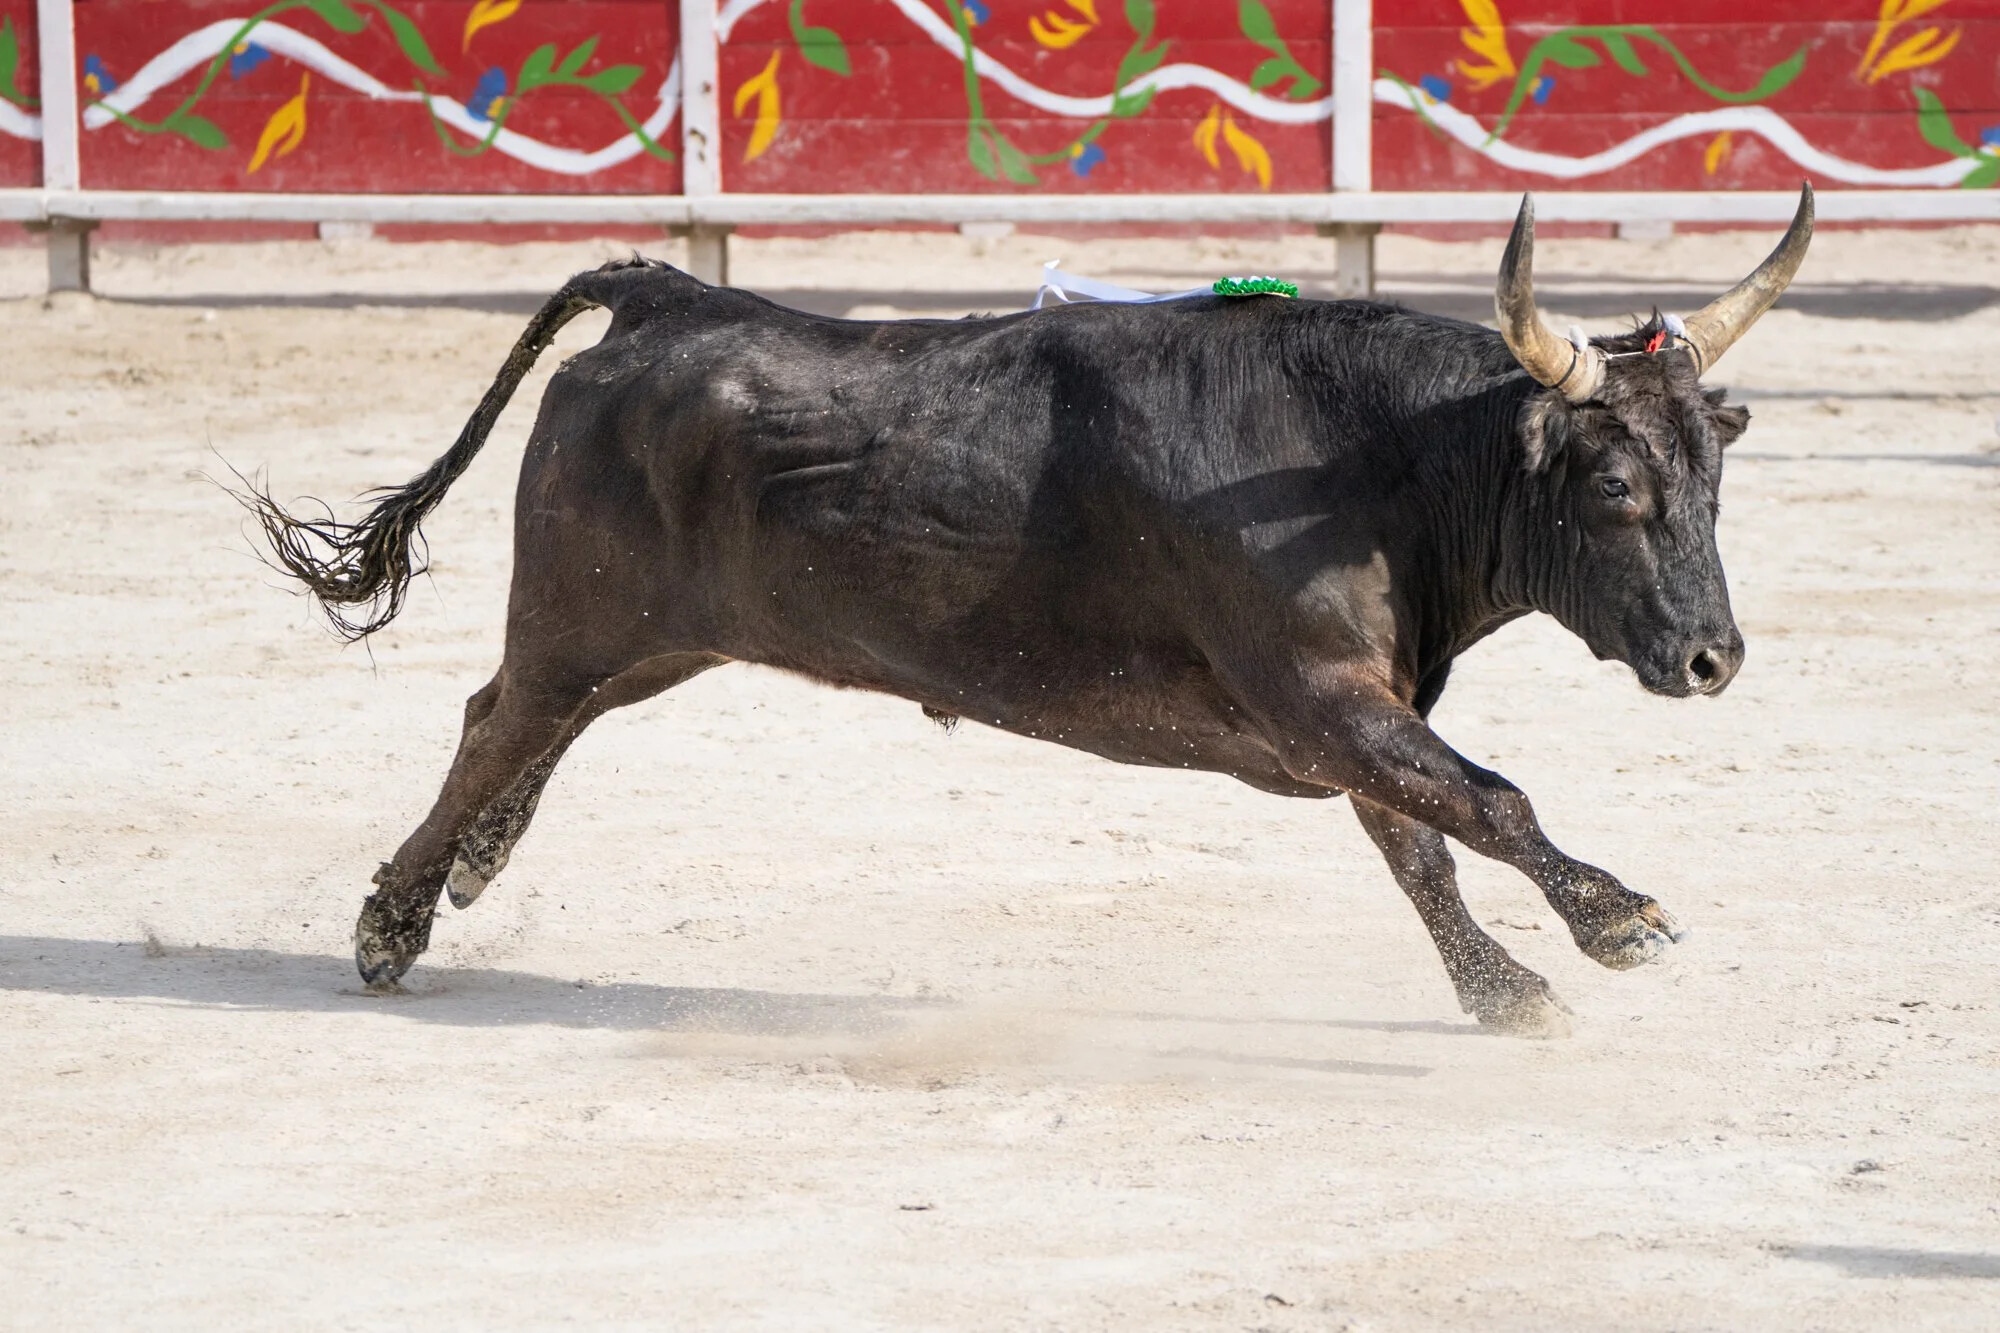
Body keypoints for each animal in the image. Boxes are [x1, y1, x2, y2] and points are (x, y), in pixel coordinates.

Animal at [243, 186, 1814, 1036]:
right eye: (1610, 484)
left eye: (1713, 472)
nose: (1712, 657)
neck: (1372, 459)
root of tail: (666, 300)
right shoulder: (1318, 693)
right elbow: (1484, 802)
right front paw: (1617, 922)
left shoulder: (1347, 711)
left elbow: (1419, 840)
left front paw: (1507, 992)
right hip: (585, 614)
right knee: (500, 718)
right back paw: (391, 926)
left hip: (659, 637)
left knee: (520, 726)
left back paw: (470, 869)